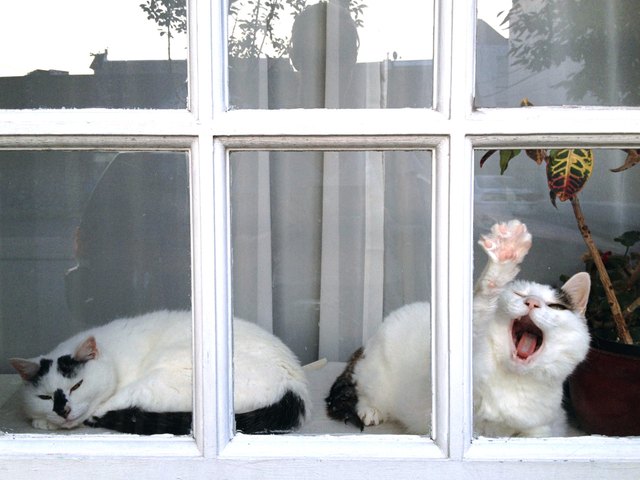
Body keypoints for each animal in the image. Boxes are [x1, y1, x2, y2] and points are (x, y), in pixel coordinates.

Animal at [9, 312, 310, 436]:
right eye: (45, 397)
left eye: (77, 386)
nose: (63, 411)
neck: (114, 357)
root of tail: (294, 389)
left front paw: (45, 422)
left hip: (162, 376)